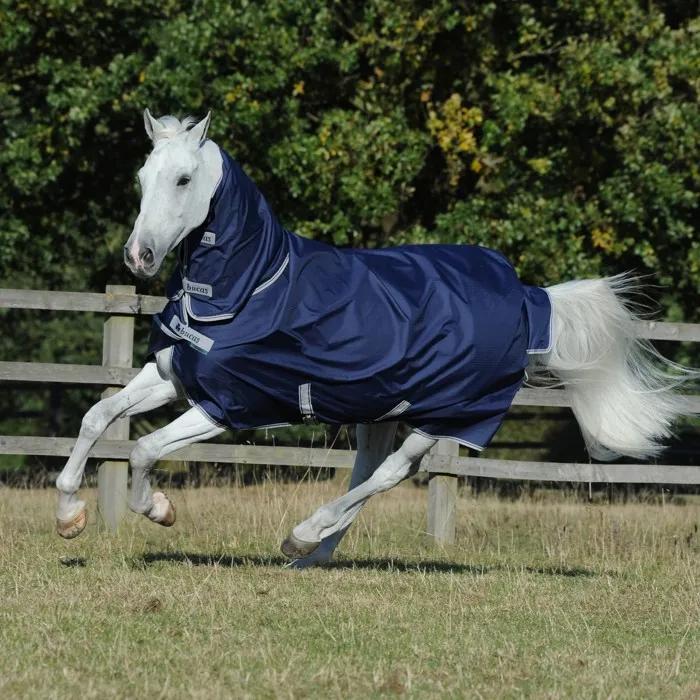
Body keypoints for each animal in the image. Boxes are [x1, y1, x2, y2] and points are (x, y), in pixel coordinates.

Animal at [55, 110, 690, 566]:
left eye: (184, 179)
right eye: (142, 178)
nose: (139, 256)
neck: (251, 285)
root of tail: (531, 299)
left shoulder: (228, 406)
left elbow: (143, 449)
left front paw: (157, 510)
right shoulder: (173, 376)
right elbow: (96, 416)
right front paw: (69, 516)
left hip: (446, 414)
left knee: (389, 475)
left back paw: (303, 535)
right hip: (381, 410)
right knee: (367, 474)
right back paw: (310, 555)